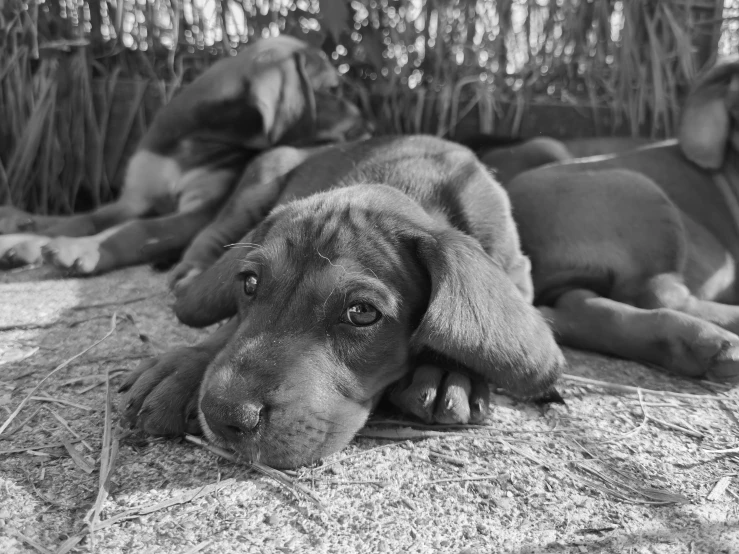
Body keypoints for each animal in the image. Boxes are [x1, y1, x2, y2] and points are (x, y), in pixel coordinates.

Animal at [123, 134, 568, 466]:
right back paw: (189, 274)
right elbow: (230, 329)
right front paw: (184, 368)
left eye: (362, 313)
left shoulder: (515, 267)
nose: (222, 413)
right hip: (258, 181)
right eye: (249, 284)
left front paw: (447, 370)